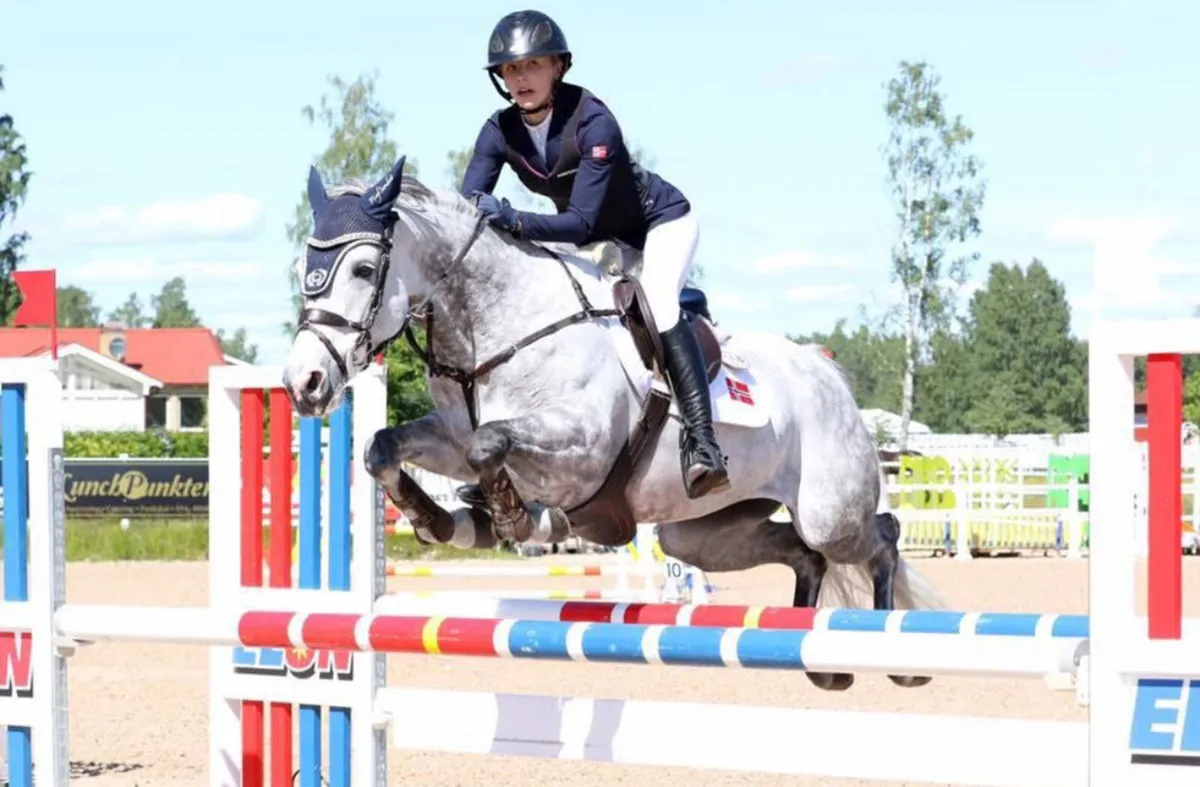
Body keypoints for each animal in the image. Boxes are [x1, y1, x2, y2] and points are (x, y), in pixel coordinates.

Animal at [281, 155, 945, 690]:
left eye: (364, 270)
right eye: (303, 267)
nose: (303, 383)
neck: (499, 325)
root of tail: (828, 372)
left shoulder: (583, 447)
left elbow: (492, 447)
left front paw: (513, 517)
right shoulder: (449, 435)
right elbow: (384, 446)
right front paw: (438, 519)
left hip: (829, 511)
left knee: (880, 536)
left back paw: (895, 658)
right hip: (699, 533)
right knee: (802, 555)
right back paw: (818, 659)